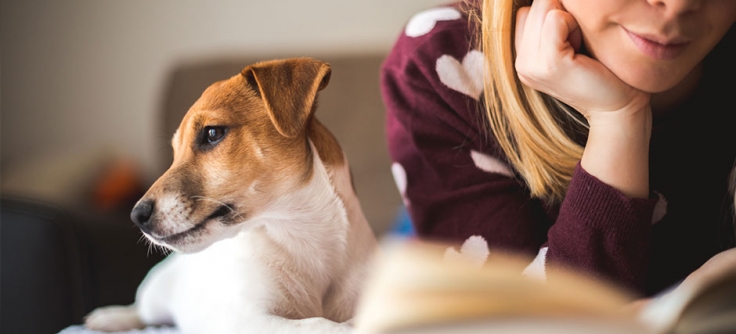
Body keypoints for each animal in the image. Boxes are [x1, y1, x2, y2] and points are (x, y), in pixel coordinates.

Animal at [83, 58, 376, 334]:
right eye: (175, 152)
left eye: (212, 133)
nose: (136, 216)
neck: (302, 237)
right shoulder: (248, 318)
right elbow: (320, 324)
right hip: (155, 293)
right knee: (140, 312)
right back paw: (110, 317)